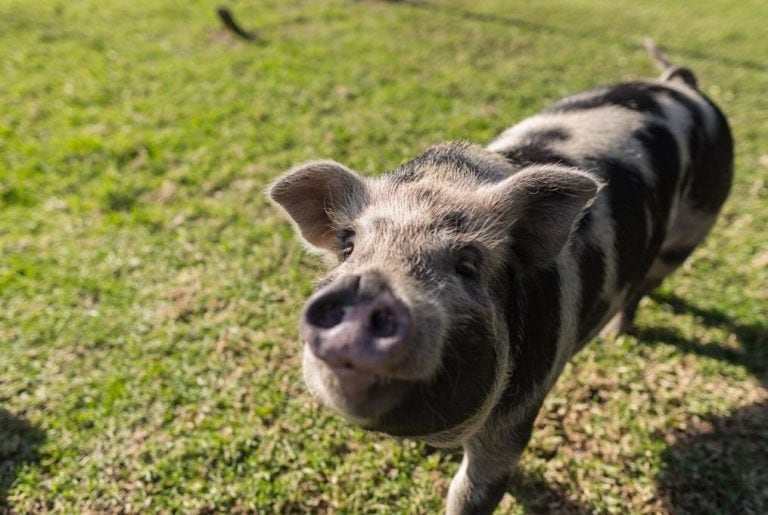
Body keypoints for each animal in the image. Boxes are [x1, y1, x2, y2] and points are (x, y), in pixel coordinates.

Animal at [268, 42, 732, 512]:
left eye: (469, 262)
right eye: (347, 246)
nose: (368, 287)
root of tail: (683, 85)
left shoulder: (516, 418)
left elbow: (472, 492)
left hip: (692, 229)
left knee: (645, 284)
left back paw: (615, 337)